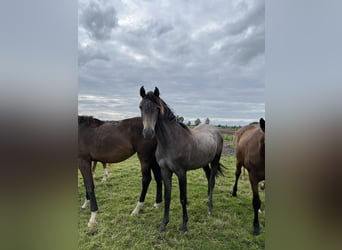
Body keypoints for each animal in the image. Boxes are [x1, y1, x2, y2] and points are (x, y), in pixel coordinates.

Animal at [139, 87, 224, 233]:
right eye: (140, 107)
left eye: (157, 108)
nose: (148, 133)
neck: (170, 142)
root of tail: (215, 130)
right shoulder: (165, 171)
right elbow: (167, 197)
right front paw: (163, 224)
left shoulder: (181, 172)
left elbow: (183, 198)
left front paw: (184, 226)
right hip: (204, 163)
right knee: (209, 180)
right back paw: (207, 202)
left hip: (214, 161)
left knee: (212, 181)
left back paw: (209, 209)